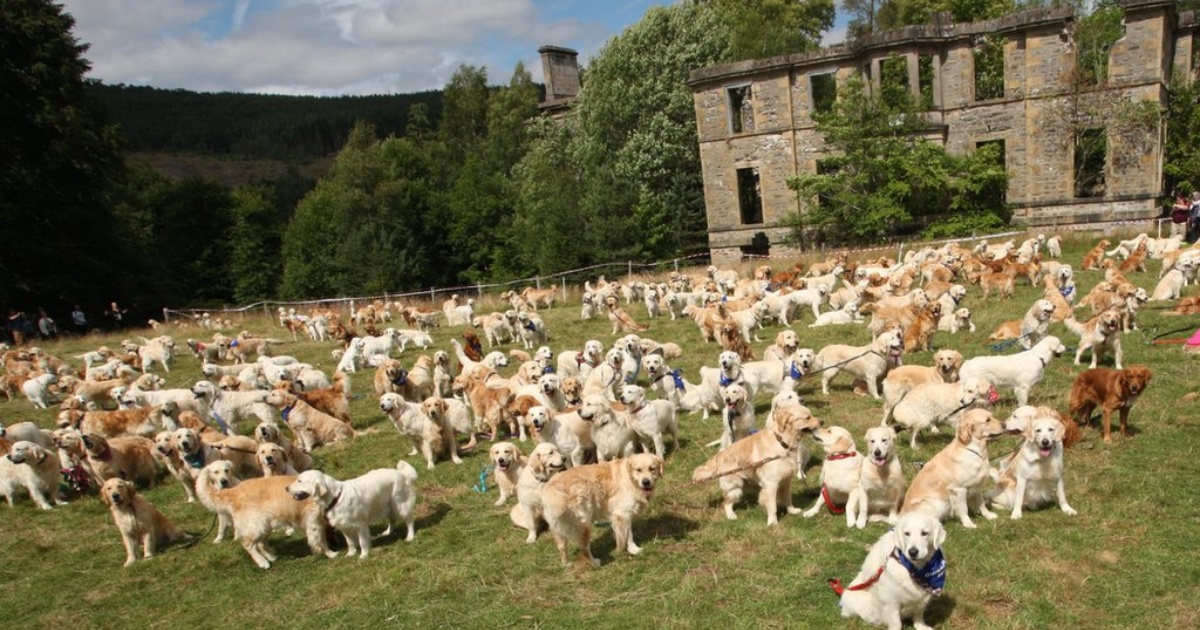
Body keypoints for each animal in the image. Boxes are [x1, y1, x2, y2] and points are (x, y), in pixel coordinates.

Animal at [194, 458, 331, 566]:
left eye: (226, 470)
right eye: (216, 472)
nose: (223, 481)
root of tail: (235, 490)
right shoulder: (314, 522)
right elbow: (321, 540)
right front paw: (330, 553)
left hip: (265, 524)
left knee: (260, 543)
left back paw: (270, 556)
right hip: (256, 525)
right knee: (248, 545)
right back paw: (262, 562)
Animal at [286, 458, 422, 556]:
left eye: (299, 481)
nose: (286, 488)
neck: (335, 498)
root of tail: (402, 473)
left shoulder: (360, 525)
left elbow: (362, 542)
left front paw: (364, 555)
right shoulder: (344, 526)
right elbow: (350, 542)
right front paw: (351, 554)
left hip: (400, 504)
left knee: (409, 521)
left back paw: (410, 537)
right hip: (387, 505)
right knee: (392, 519)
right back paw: (388, 532)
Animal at [691, 400, 820, 523]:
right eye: (807, 417)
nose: (822, 421)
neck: (781, 441)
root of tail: (719, 456)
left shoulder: (786, 480)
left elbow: (788, 498)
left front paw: (792, 510)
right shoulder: (771, 484)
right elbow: (772, 506)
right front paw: (772, 523)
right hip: (734, 488)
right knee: (726, 503)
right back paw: (731, 516)